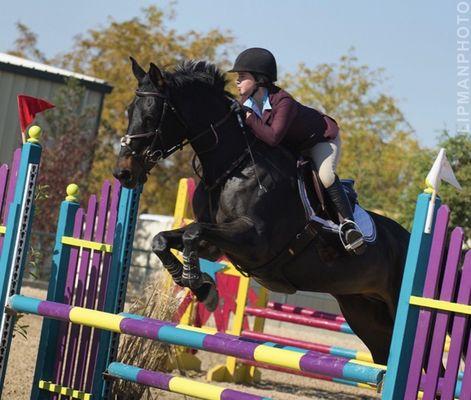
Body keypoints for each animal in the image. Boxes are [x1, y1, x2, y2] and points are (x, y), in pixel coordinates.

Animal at [113, 57, 410, 368]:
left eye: (150, 117)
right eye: (129, 111)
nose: (123, 173)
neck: (231, 167)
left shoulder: (255, 241)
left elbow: (192, 234)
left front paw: (202, 288)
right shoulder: (214, 245)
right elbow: (163, 239)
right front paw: (198, 284)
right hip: (363, 312)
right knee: (383, 355)